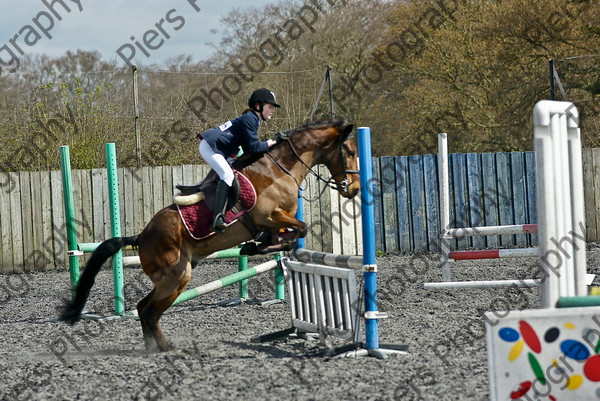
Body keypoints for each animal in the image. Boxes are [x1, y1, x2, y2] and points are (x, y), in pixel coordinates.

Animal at [59, 119, 360, 350]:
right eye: (349, 150)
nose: (354, 189)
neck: (279, 169)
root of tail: (142, 237)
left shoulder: (276, 220)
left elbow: (290, 235)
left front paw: (259, 245)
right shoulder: (268, 215)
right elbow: (299, 228)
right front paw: (255, 247)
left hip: (169, 278)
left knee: (144, 308)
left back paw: (153, 347)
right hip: (177, 277)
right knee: (149, 312)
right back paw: (165, 348)